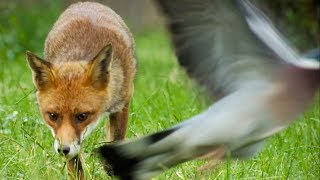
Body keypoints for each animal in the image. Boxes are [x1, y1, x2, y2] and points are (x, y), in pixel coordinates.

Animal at [25, 1, 135, 179]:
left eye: (82, 116)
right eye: (52, 116)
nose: (63, 150)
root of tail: (87, 3)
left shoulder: (122, 104)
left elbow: (116, 139)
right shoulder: (66, 140)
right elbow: (75, 165)